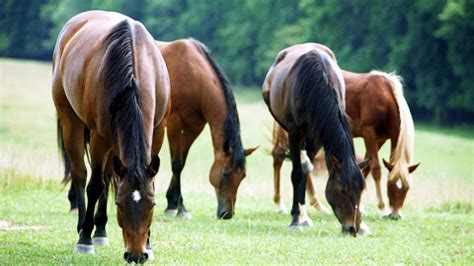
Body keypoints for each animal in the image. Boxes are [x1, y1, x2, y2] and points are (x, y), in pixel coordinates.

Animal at [53, 10, 169, 264]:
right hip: (71, 122)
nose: (136, 255)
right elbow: (95, 185)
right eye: (120, 204)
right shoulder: (99, 138)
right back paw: (84, 228)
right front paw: (84, 240)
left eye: (152, 203)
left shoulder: (158, 131)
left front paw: (149, 244)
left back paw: (101, 231)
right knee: (80, 174)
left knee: (107, 176)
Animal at [156, 38, 258, 219]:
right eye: (225, 173)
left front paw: (175, 204)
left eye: (243, 176)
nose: (227, 214)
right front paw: (176, 207)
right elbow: (176, 164)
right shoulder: (174, 124)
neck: (193, 76)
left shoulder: (194, 127)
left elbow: (182, 163)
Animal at [262, 43, 370, 235]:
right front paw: (297, 220)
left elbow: (306, 172)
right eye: (343, 190)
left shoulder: (317, 136)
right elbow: (297, 174)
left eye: (361, 190)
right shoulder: (294, 132)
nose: (352, 228)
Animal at [272, 69, 420, 219]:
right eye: (389, 186)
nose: (395, 215)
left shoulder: (381, 139)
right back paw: (281, 205)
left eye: (407, 188)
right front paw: (382, 209)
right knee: (279, 156)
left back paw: (316, 205)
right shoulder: (370, 134)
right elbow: (376, 169)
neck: (385, 98)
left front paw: (360, 207)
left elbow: (365, 168)